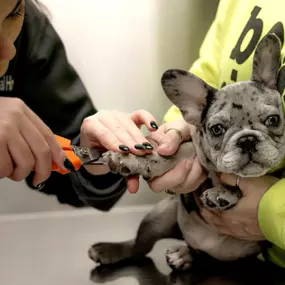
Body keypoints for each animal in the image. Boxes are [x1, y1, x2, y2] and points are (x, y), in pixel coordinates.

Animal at [88, 33, 284, 268]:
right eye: (217, 129)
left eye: (274, 120)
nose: (247, 140)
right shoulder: (193, 151)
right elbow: (170, 155)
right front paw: (132, 160)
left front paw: (223, 193)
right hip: (158, 216)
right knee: (138, 248)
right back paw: (110, 250)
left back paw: (184, 254)